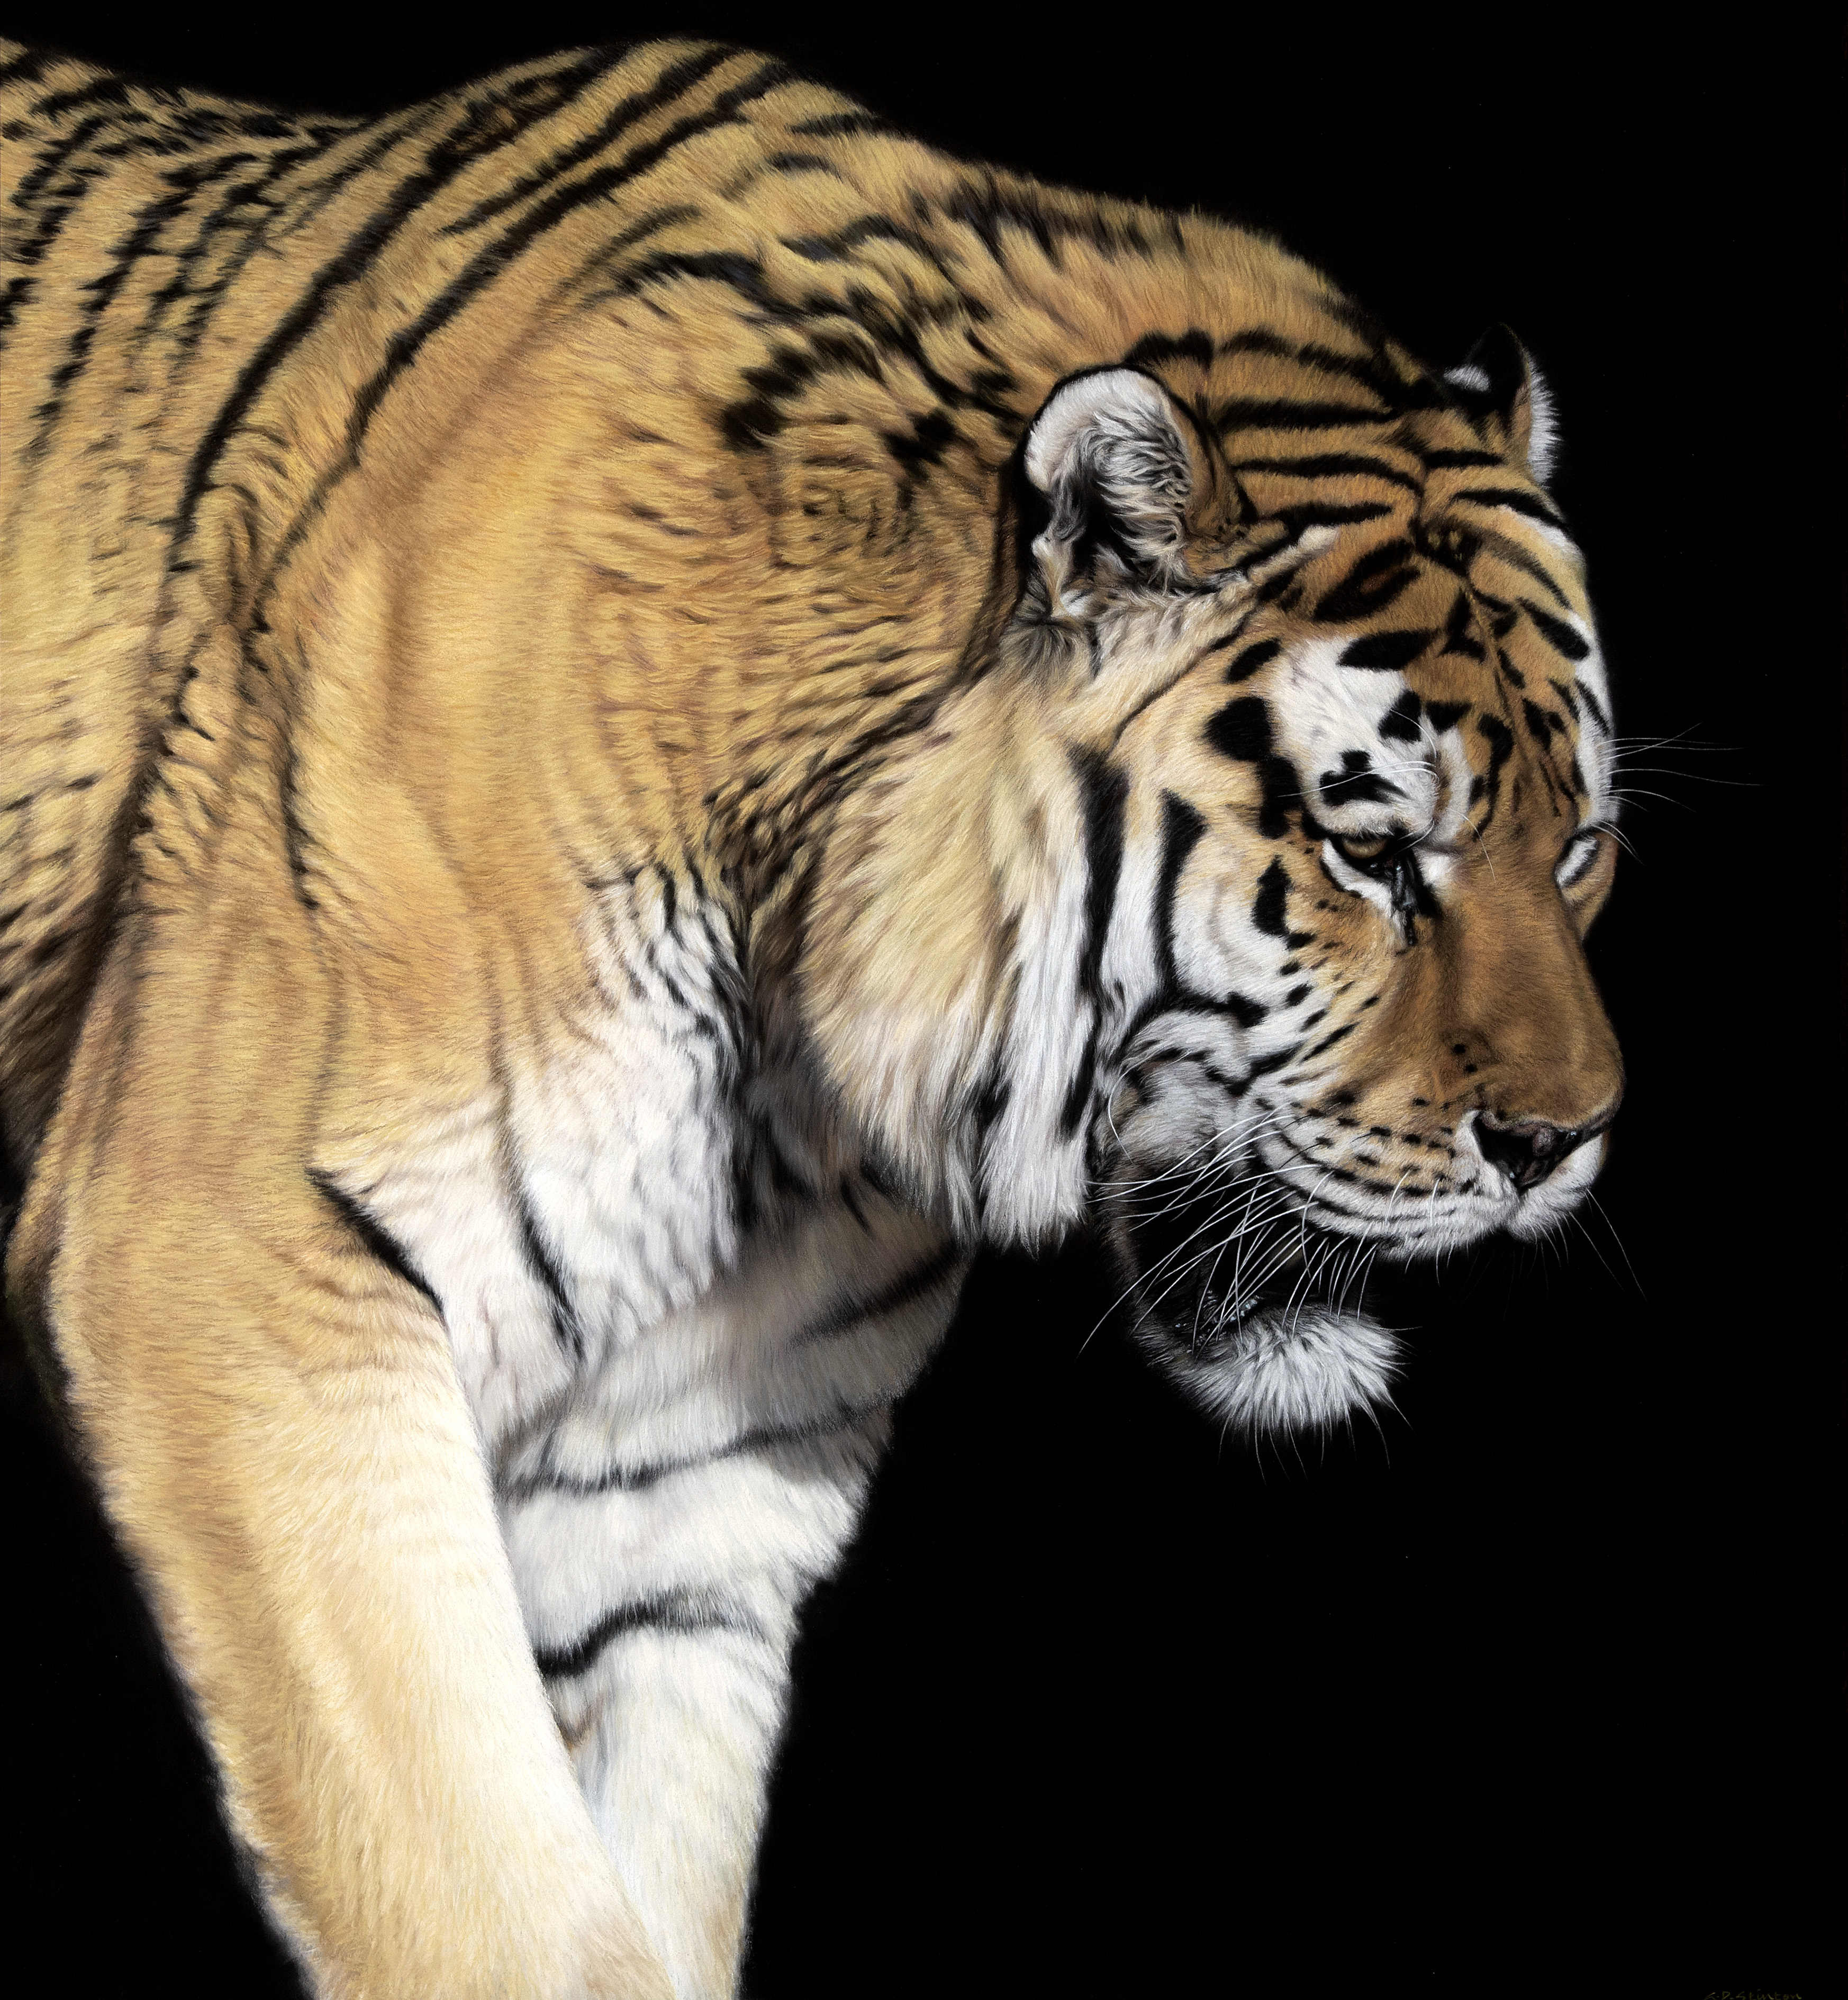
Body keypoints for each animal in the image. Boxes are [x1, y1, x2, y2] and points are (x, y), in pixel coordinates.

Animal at [0, 32, 1625, 2000]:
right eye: (1371, 847)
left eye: (1584, 843)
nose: (1564, 1140)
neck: (802, 1081)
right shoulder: (229, 1269)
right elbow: (489, 1904)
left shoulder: (682, 1488)